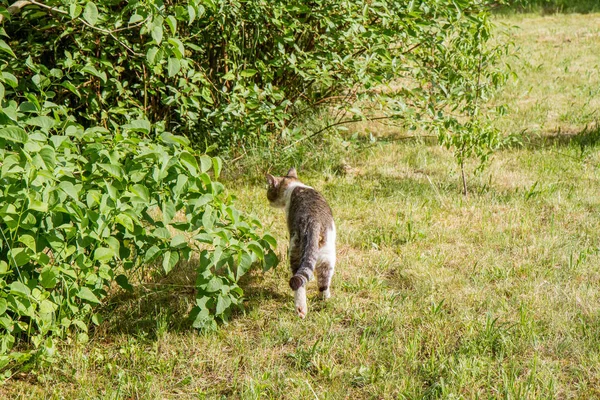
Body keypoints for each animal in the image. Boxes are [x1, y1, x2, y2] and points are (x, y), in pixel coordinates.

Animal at [264, 166, 336, 318]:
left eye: (269, 190)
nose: (268, 200)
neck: (294, 185)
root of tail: (313, 221)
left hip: (294, 250)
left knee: (298, 283)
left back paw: (301, 309)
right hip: (328, 254)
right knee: (323, 280)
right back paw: (325, 299)